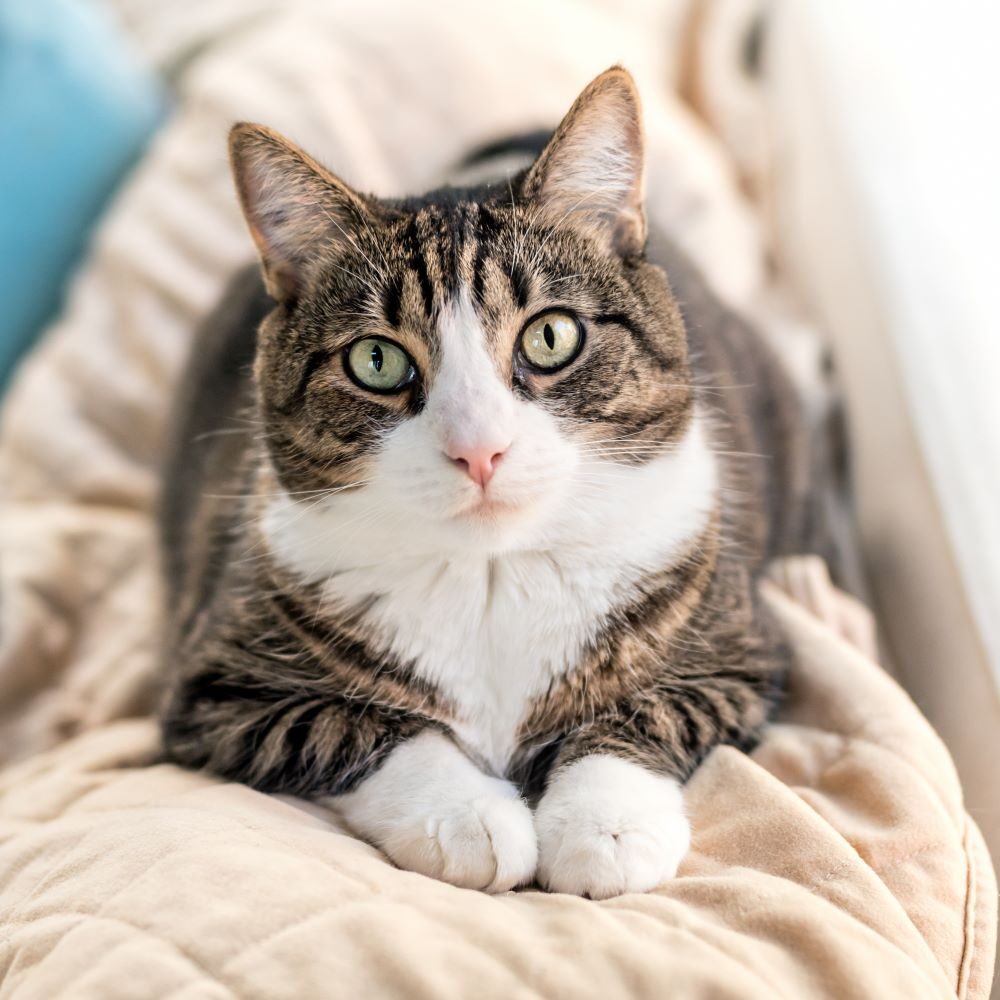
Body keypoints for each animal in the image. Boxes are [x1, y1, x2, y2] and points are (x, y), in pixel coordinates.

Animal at [158, 68, 812, 900]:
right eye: (376, 360)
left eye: (552, 335)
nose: (480, 450)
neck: (493, 575)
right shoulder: (216, 685)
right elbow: (350, 725)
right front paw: (466, 816)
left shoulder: (739, 653)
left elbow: (648, 709)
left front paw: (606, 825)